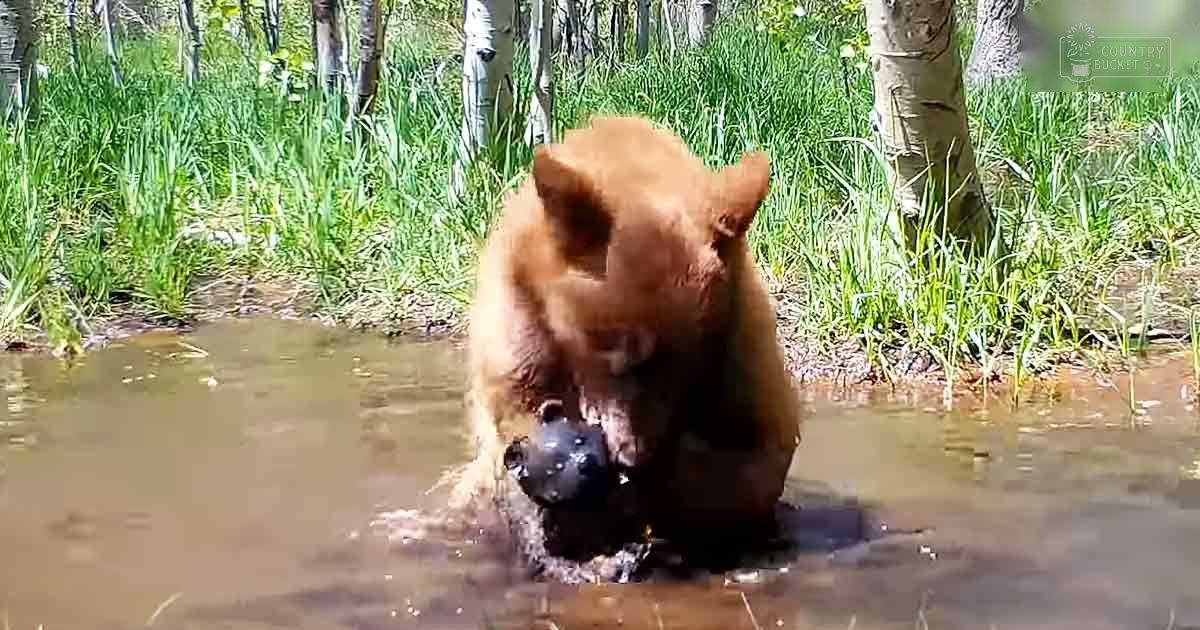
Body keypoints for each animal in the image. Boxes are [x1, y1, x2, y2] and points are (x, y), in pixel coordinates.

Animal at [447, 115, 803, 583]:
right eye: (611, 348)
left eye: (688, 364)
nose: (631, 459)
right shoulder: (519, 328)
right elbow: (515, 426)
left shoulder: (740, 341)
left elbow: (758, 453)